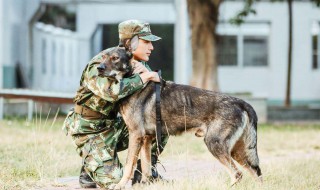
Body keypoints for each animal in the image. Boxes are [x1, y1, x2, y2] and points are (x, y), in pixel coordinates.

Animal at [100, 46, 262, 189]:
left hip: (215, 144)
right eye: (102, 57)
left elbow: (128, 166)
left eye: (115, 58)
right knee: (255, 173)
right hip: (237, 151)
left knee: (237, 174)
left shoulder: (136, 135)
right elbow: (146, 169)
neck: (135, 79)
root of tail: (241, 102)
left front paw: (119, 185)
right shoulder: (146, 139)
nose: (99, 68)